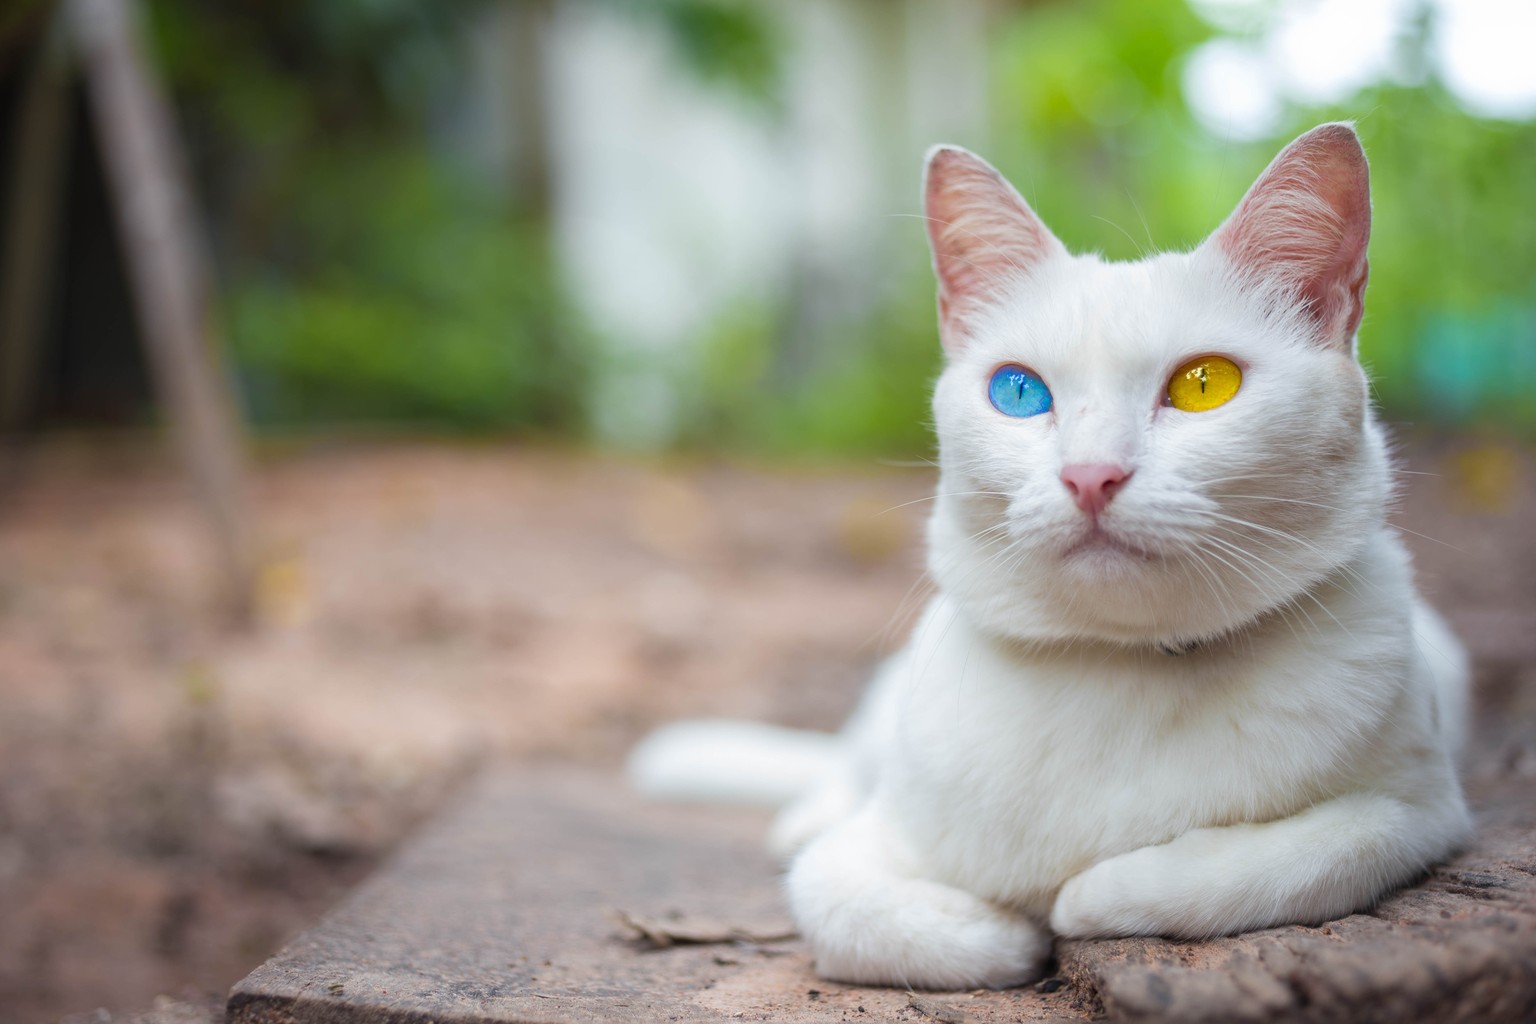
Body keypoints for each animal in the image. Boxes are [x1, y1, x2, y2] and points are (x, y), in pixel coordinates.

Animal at [626, 122, 1474, 994]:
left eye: (1205, 385)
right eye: (1019, 392)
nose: (1090, 475)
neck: (1123, 671)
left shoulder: (1420, 810)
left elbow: (1283, 863)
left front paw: (1088, 896)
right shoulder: (864, 850)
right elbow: (852, 909)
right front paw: (1006, 928)